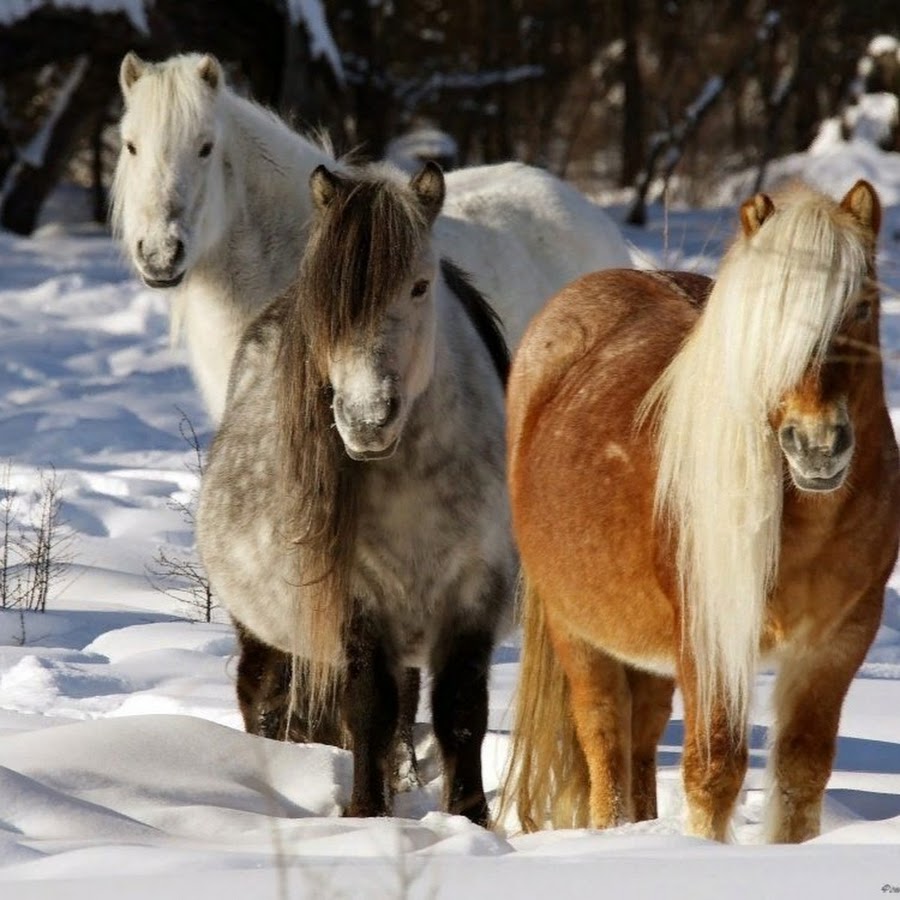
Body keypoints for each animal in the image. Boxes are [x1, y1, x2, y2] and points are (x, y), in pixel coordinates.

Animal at [502, 181, 896, 844]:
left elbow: (802, 772)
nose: (817, 445)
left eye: (863, 306)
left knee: (639, 741)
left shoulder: (838, 642)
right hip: (576, 631)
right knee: (604, 741)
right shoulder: (710, 639)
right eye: (764, 319)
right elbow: (715, 770)